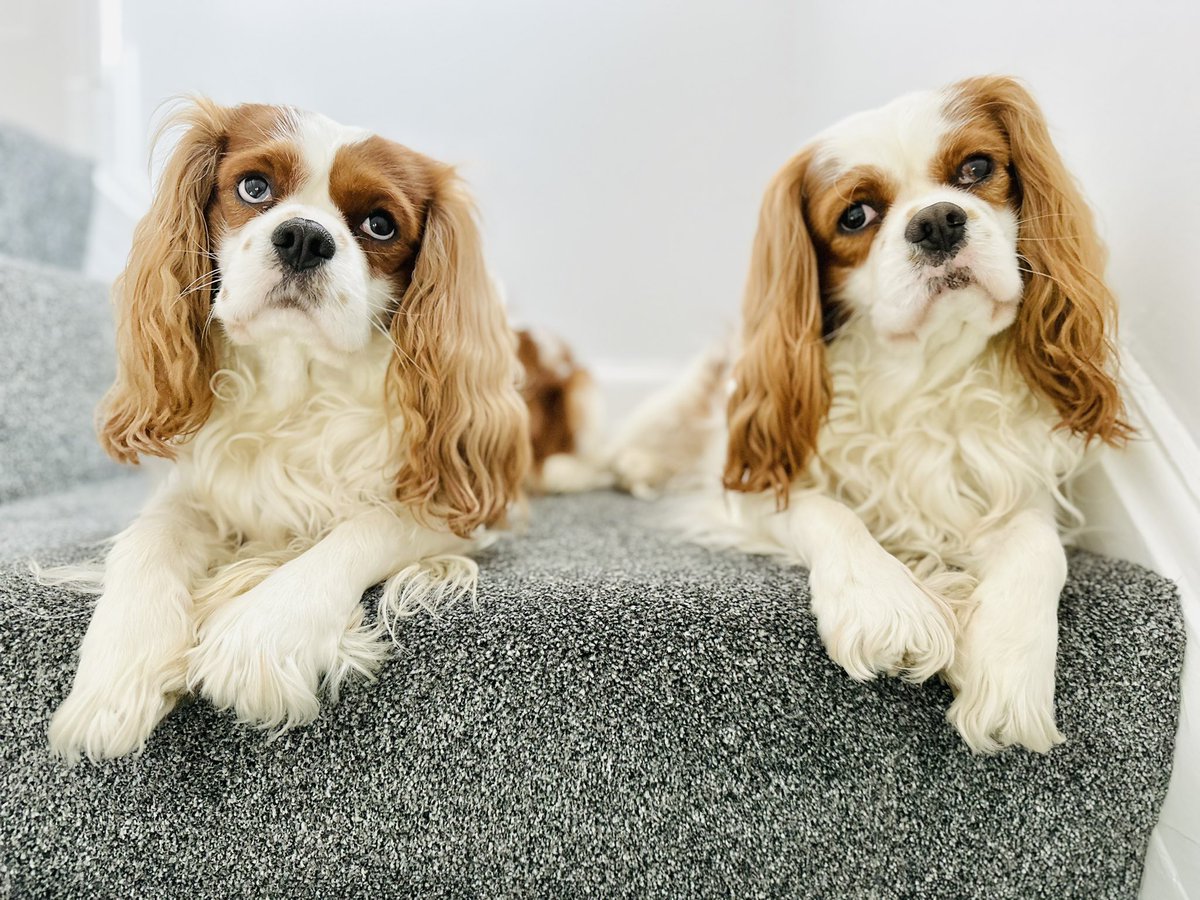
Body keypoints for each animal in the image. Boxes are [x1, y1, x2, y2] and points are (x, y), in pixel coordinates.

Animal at [49, 100, 530, 763]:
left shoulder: (456, 503)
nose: (304, 236)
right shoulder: (195, 488)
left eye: (380, 225)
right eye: (254, 188)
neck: (296, 382)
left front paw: (261, 634)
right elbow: (148, 538)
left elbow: (364, 528)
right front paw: (115, 674)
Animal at [614, 75, 1128, 753]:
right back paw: (629, 465)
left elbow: (1041, 548)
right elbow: (826, 512)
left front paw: (1008, 664)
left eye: (977, 168)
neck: (917, 374)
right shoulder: (757, 481)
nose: (936, 221)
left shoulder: (1012, 482)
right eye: (854, 216)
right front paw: (886, 604)